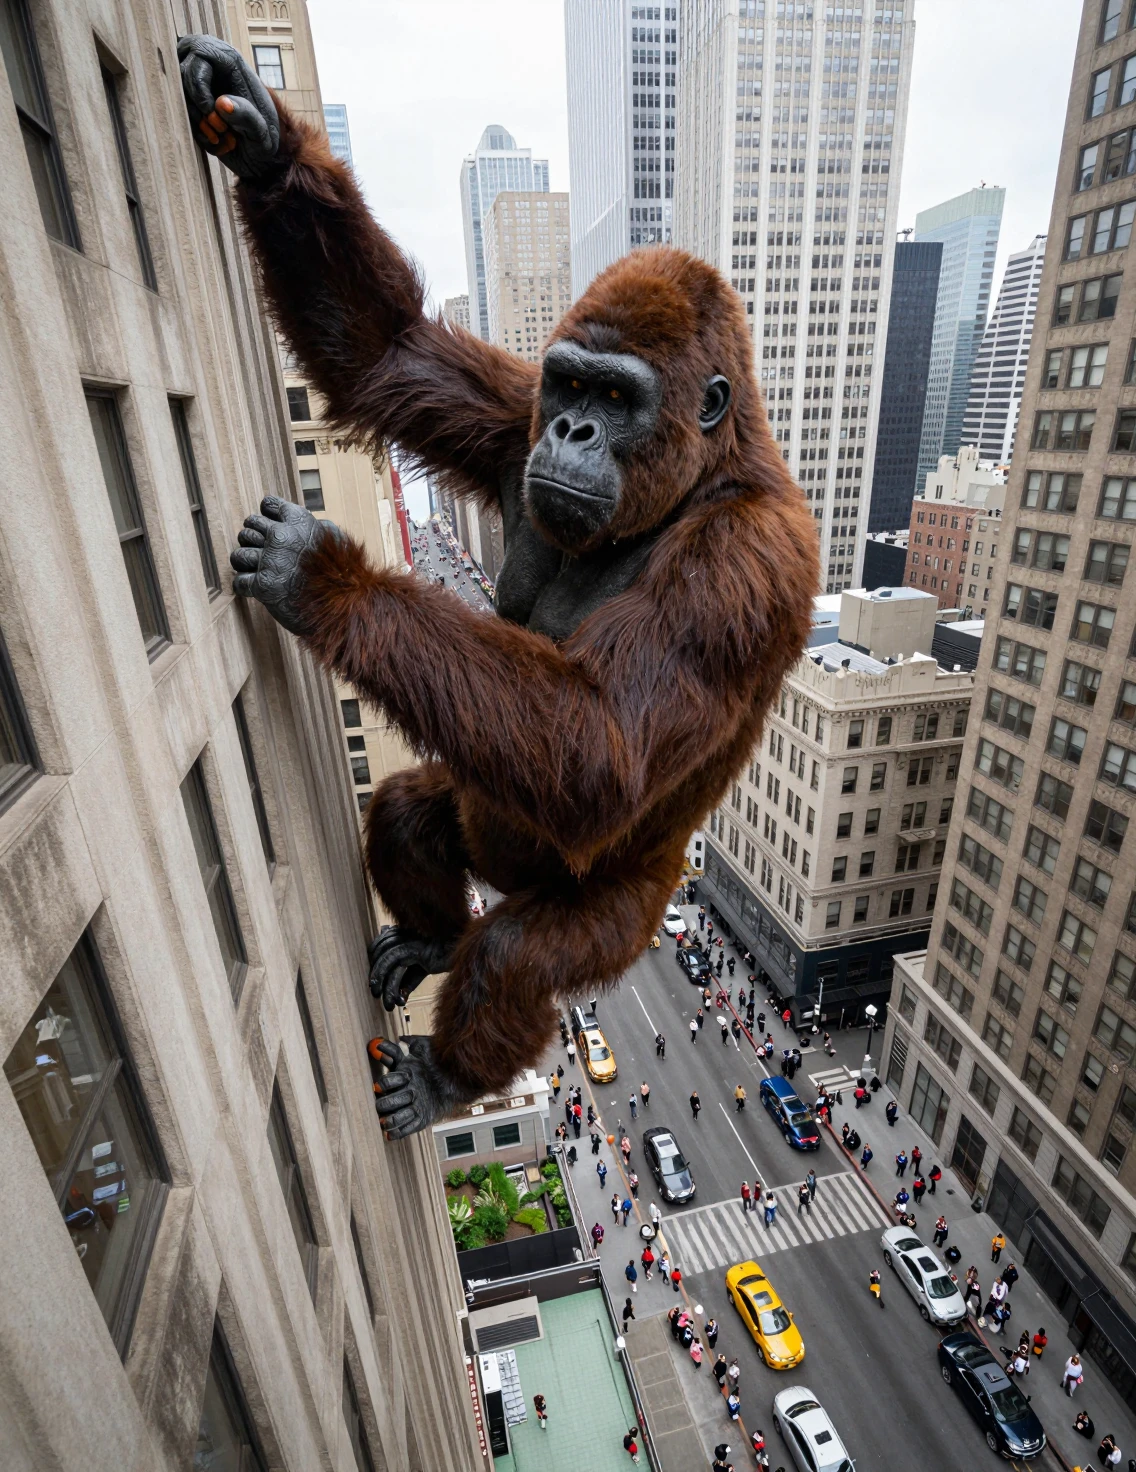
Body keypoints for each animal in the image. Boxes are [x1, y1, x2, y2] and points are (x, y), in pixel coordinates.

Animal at [178, 35, 820, 1138]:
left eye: (617, 398)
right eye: (569, 383)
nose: (571, 431)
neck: (700, 475)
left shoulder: (745, 562)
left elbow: (601, 745)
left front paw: (331, 583)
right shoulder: (510, 414)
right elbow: (384, 354)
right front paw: (262, 141)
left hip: (633, 915)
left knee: (525, 950)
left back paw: (449, 1068)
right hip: (474, 810)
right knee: (410, 807)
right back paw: (436, 933)